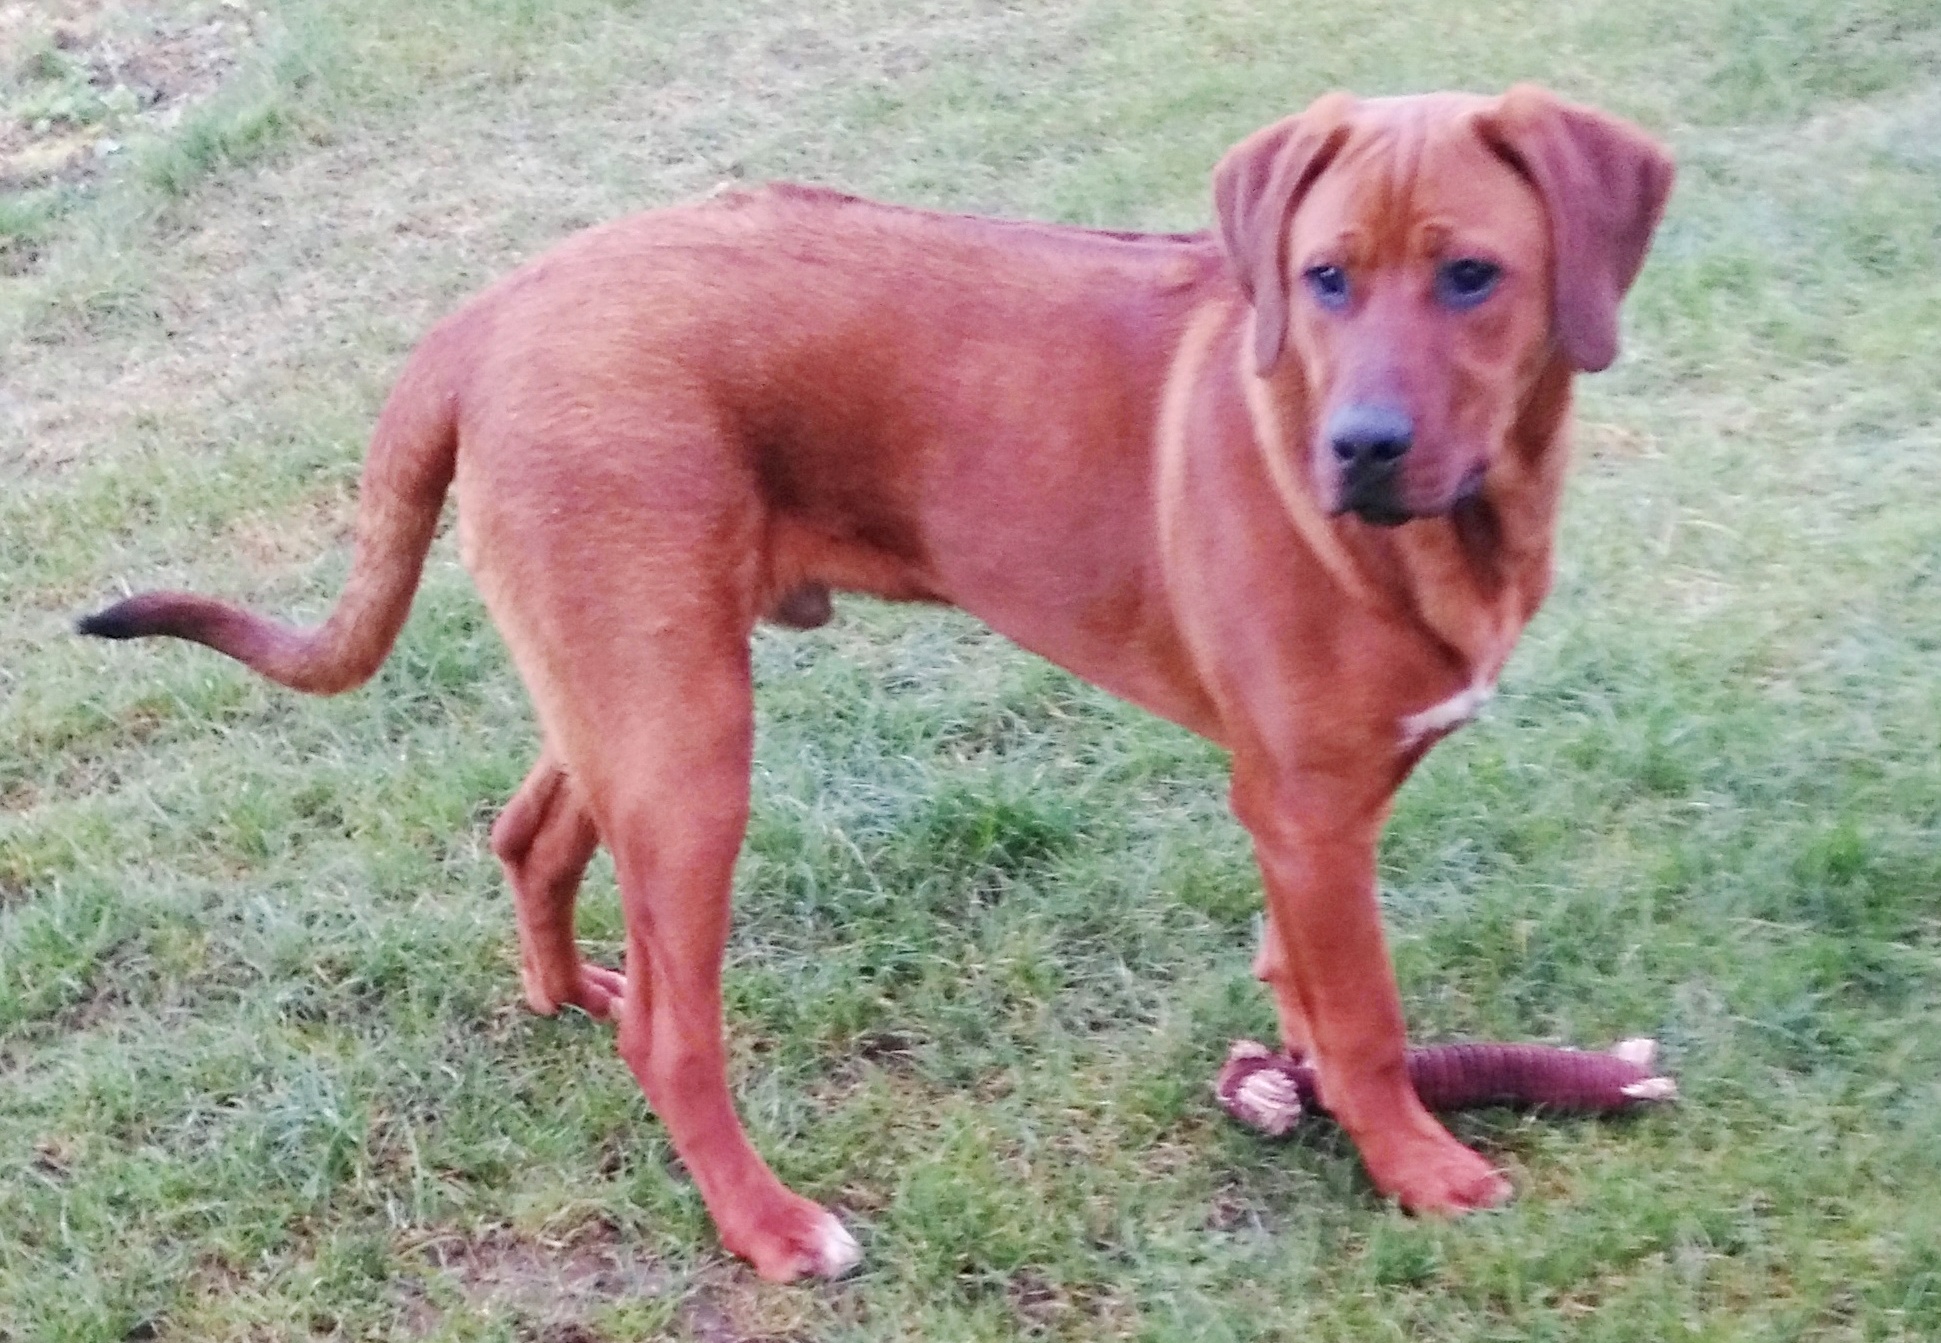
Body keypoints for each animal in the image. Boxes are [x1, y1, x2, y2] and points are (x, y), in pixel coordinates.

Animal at [83, 83, 1677, 1280]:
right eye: (1323, 277)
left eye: (1472, 276)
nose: (1359, 448)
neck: (1454, 531)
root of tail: (485, 316)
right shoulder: (1309, 807)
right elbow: (1367, 1012)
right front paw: (1418, 1160)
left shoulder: (1314, 813)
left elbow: (1307, 978)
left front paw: (1321, 1089)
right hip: (687, 736)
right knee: (676, 1027)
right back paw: (770, 1225)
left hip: (625, 688)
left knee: (531, 833)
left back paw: (564, 991)